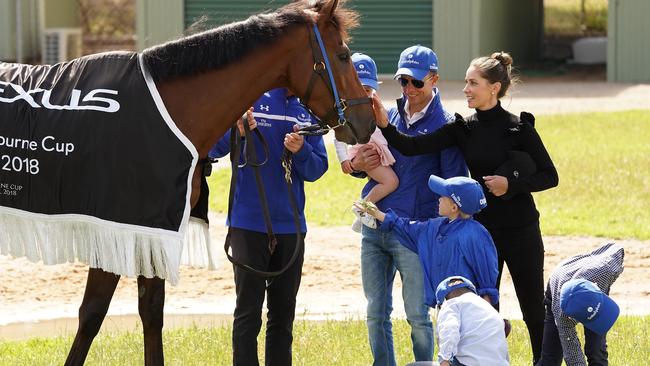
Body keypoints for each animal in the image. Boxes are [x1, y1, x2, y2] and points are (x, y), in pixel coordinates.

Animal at [1, 0, 374, 366]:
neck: (167, 112)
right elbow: (93, 313)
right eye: (343, 54)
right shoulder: (114, 226)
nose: (367, 119)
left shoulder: (150, 230)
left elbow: (150, 312)